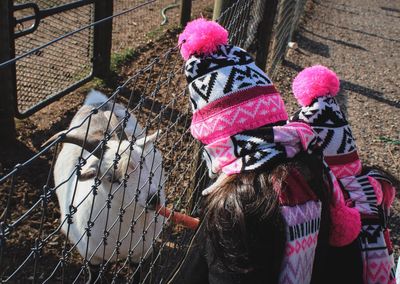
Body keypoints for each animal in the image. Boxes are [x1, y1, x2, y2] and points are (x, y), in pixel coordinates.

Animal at [47, 89, 166, 270]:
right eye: (112, 178)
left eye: (143, 160)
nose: (154, 199)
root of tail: (95, 102)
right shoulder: (91, 257)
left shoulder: (142, 253)